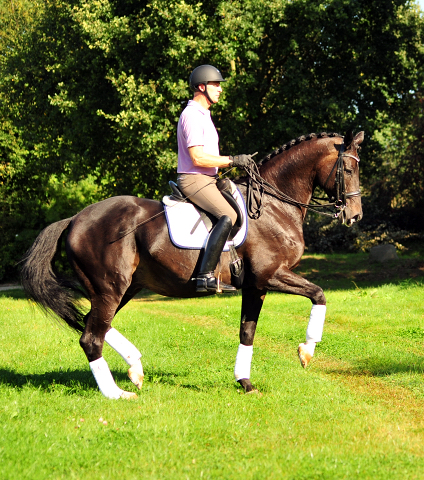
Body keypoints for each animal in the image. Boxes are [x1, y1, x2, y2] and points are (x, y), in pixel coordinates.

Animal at [20, 130, 364, 398]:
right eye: (347, 169)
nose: (355, 215)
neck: (273, 206)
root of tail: (75, 219)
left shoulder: (256, 285)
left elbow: (247, 331)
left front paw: (245, 383)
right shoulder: (271, 275)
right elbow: (319, 294)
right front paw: (307, 351)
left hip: (124, 288)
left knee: (92, 326)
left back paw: (135, 367)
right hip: (110, 288)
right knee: (91, 337)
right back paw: (118, 393)